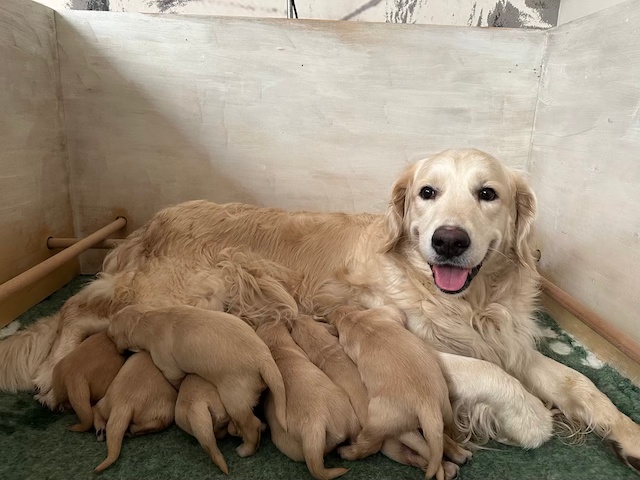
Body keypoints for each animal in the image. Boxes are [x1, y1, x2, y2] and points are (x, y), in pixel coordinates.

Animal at [107, 304, 288, 458]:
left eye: (111, 335)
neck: (146, 318)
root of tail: (263, 359)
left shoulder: (169, 367)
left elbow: (176, 380)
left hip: (235, 398)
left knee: (251, 426)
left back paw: (245, 449)